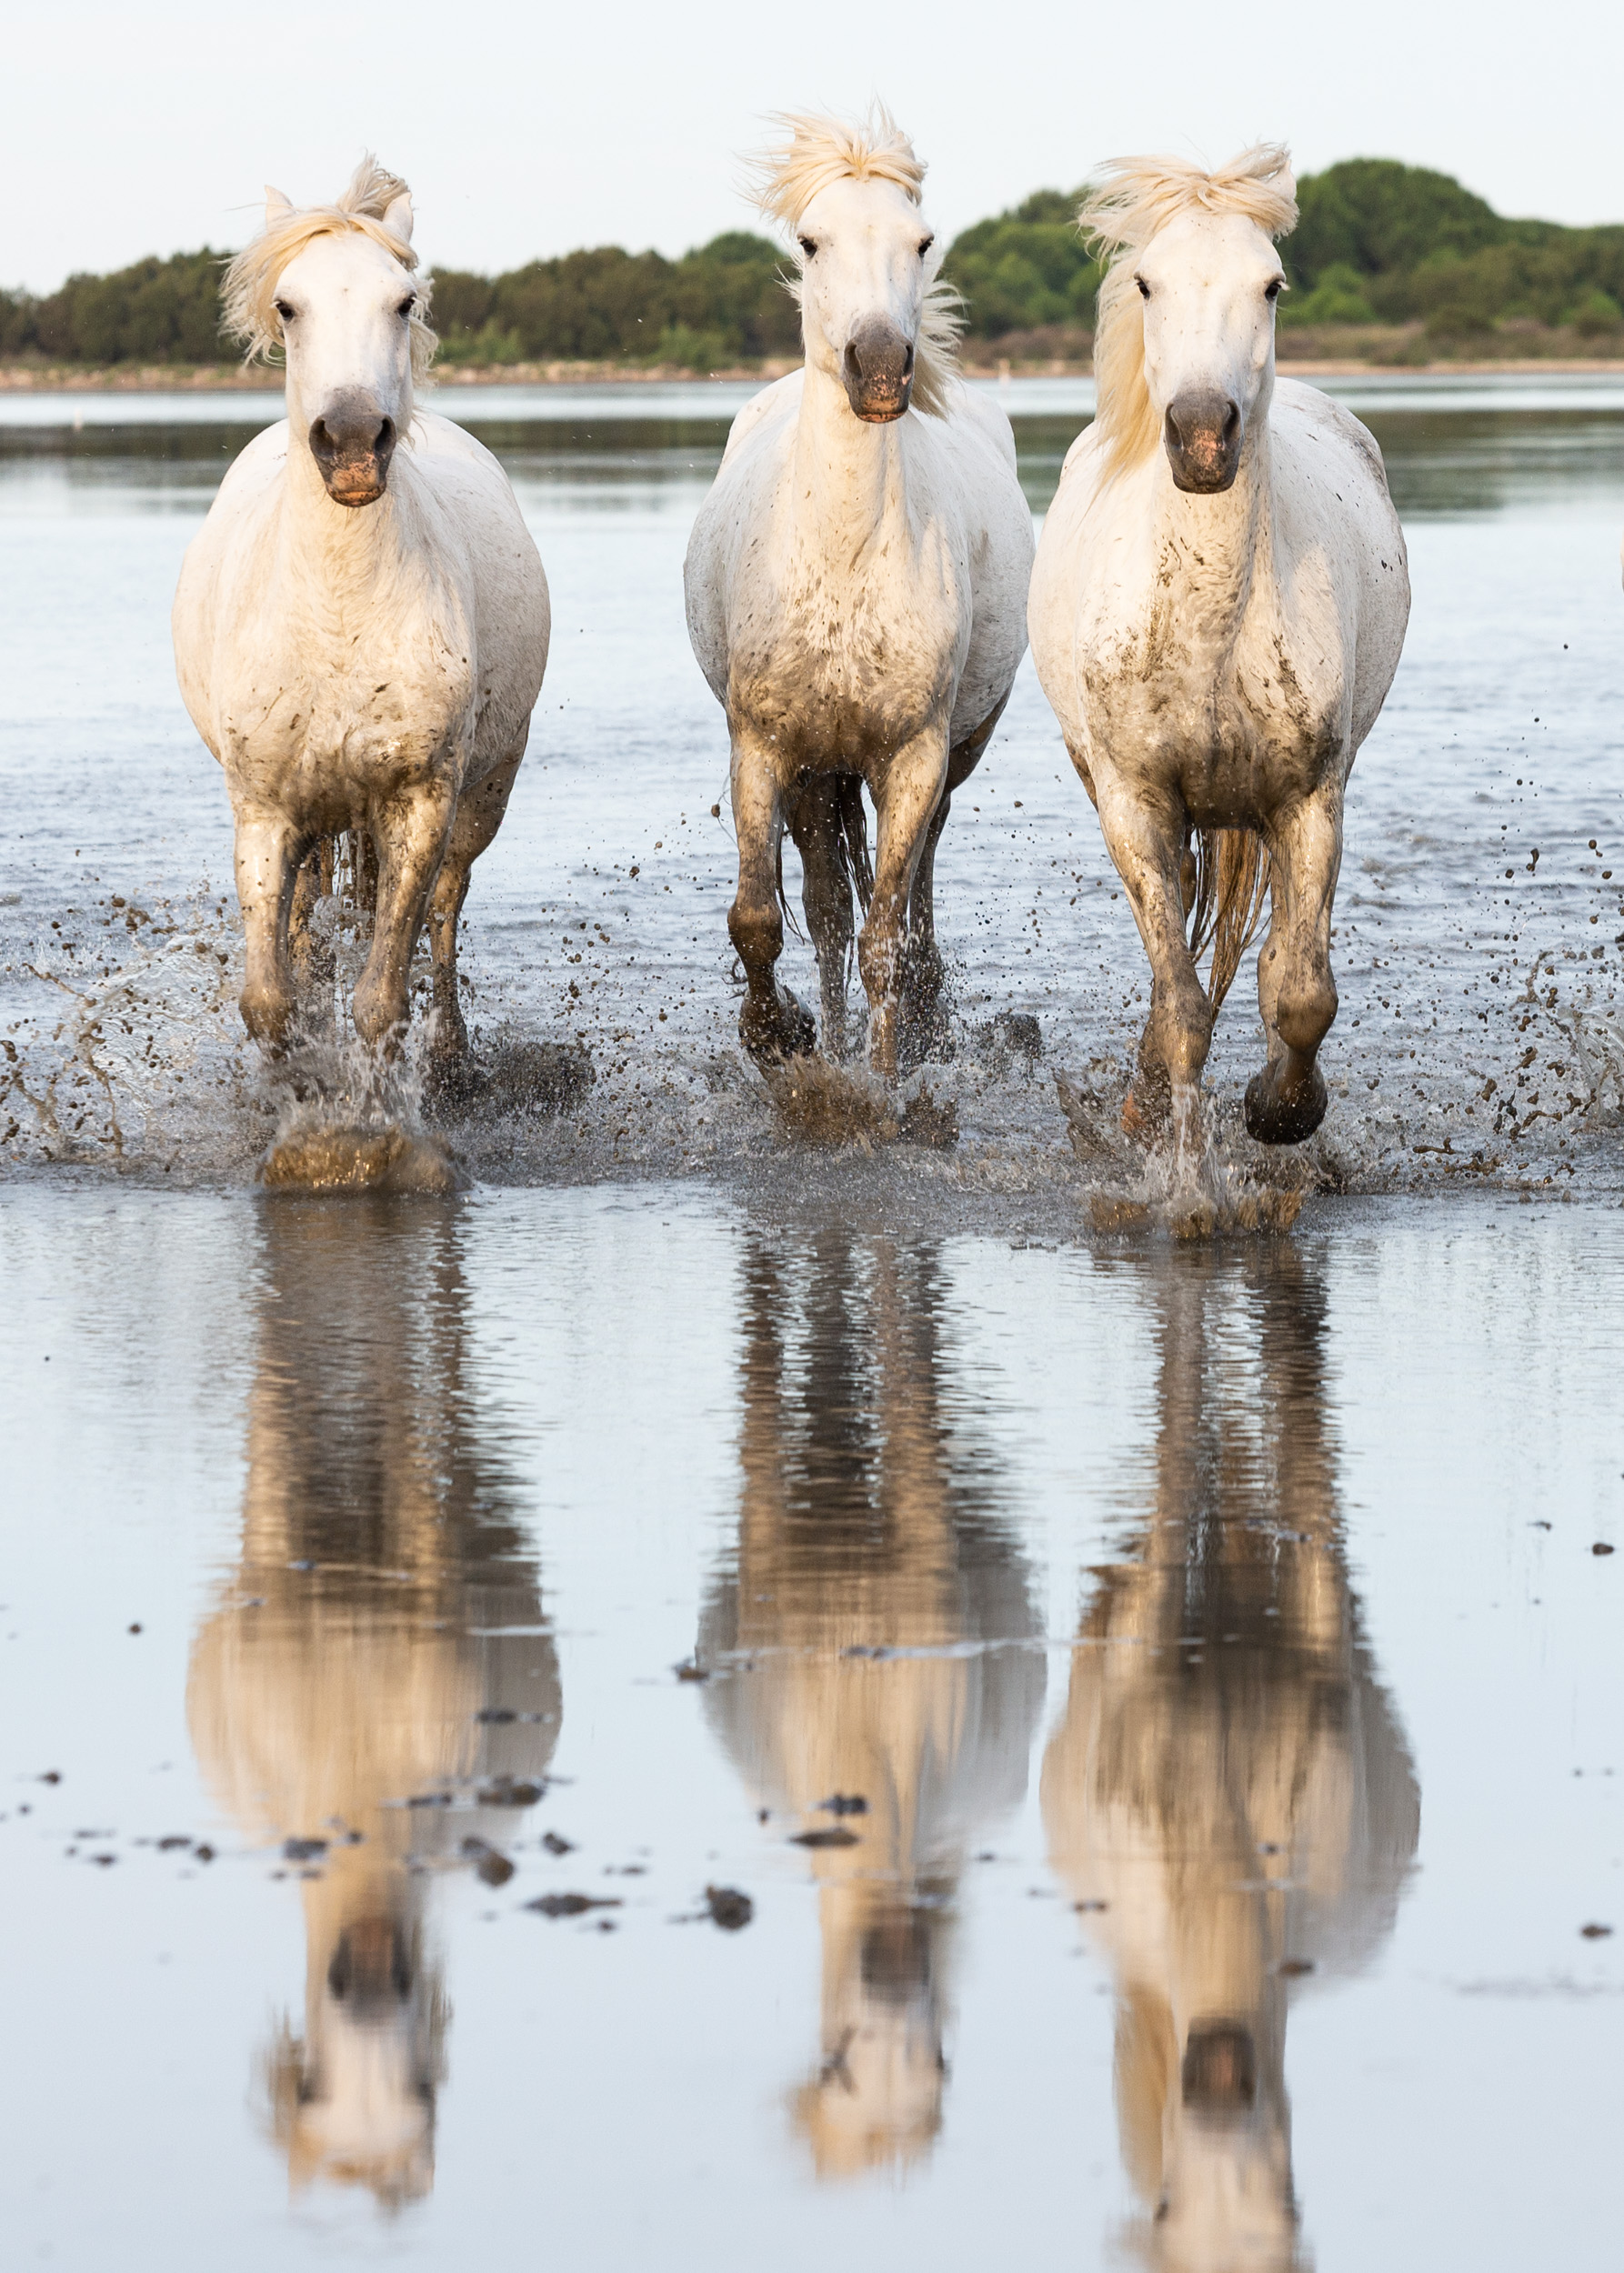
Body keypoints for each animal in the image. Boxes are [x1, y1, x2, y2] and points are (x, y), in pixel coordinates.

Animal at [172, 158, 549, 1066]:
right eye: (287, 305)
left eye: (403, 301)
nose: (349, 443)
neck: (338, 616)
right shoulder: (266, 809)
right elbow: (268, 1001)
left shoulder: (420, 800)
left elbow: (382, 998)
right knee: (311, 915)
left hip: (482, 794)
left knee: (444, 912)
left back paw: (448, 1046)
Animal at [684, 109, 1035, 1075]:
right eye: (811, 241)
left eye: (921, 241)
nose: (878, 366)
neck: (843, 562)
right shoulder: (766, 749)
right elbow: (763, 920)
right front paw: (783, 1037)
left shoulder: (913, 758)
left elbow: (883, 939)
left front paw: (880, 1080)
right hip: (821, 772)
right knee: (828, 909)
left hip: (949, 755)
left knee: (908, 897)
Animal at [1028, 147, 1409, 1145]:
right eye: (1146, 283)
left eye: (1270, 284)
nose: (1202, 436)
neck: (1208, 635)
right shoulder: (1135, 805)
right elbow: (1182, 1005)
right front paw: (1169, 1136)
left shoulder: (1310, 799)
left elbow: (1301, 992)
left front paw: (1278, 1112)